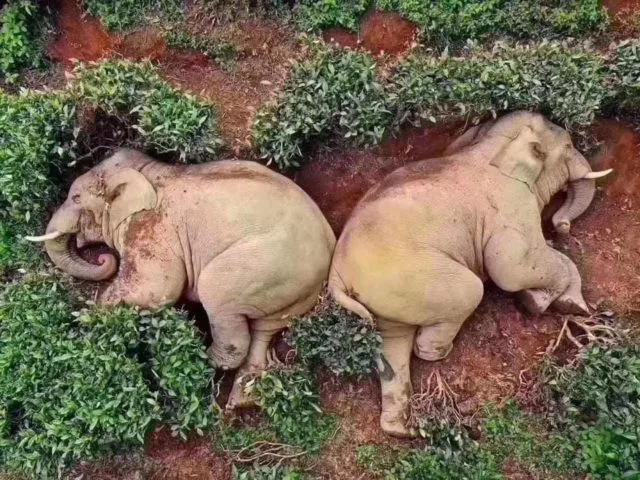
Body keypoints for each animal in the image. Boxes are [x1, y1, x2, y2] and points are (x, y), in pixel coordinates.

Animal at [26, 149, 336, 408]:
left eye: (76, 198)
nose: (104, 259)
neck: (148, 171)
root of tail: (329, 248)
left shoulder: (152, 227)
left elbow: (156, 289)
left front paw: (85, 318)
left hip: (266, 266)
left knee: (217, 295)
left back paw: (201, 360)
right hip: (292, 291)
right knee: (265, 329)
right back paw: (242, 400)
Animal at [328, 111, 613, 436]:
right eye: (567, 146)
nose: (561, 225)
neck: (489, 145)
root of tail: (336, 276)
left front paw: (563, 303)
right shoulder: (511, 206)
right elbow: (510, 268)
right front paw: (542, 303)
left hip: (383, 297)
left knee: (393, 342)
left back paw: (401, 429)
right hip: (412, 277)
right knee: (469, 292)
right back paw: (438, 354)